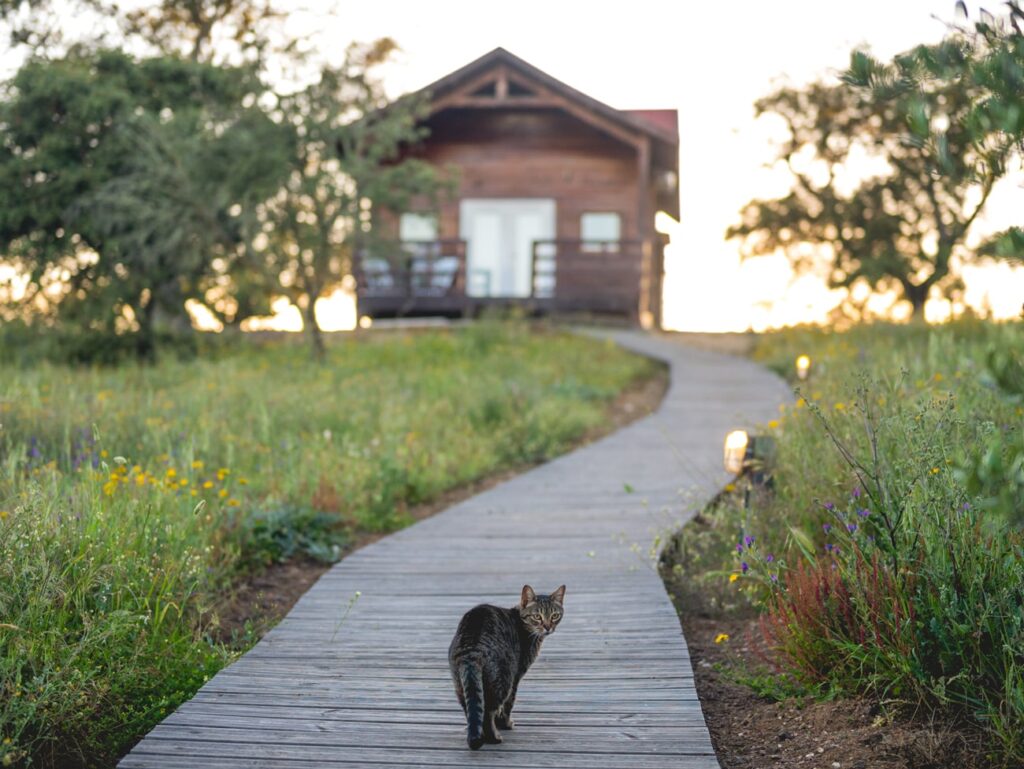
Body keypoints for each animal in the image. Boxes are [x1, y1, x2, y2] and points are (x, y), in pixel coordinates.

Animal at [446, 585, 565, 749]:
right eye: (537, 616)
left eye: (554, 615)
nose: (548, 627)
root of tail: (471, 647)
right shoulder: (516, 676)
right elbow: (508, 704)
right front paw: (505, 724)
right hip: (503, 679)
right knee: (488, 711)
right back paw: (493, 738)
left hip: (461, 683)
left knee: (470, 707)